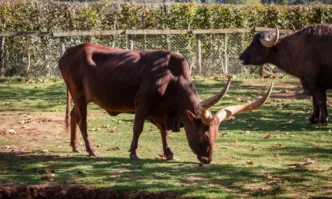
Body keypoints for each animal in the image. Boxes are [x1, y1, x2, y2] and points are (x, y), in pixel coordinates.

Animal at [59, 43, 272, 165]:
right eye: (203, 137)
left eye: (215, 136)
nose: (207, 159)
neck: (171, 77)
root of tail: (68, 53)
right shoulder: (142, 103)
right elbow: (137, 128)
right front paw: (134, 153)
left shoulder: (162, 111)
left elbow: (164, 132)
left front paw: (169, 153)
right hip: (78, 94)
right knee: (83, 120)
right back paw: (91, 150)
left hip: (82, 97)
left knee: (74, 115)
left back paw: (75, 146)